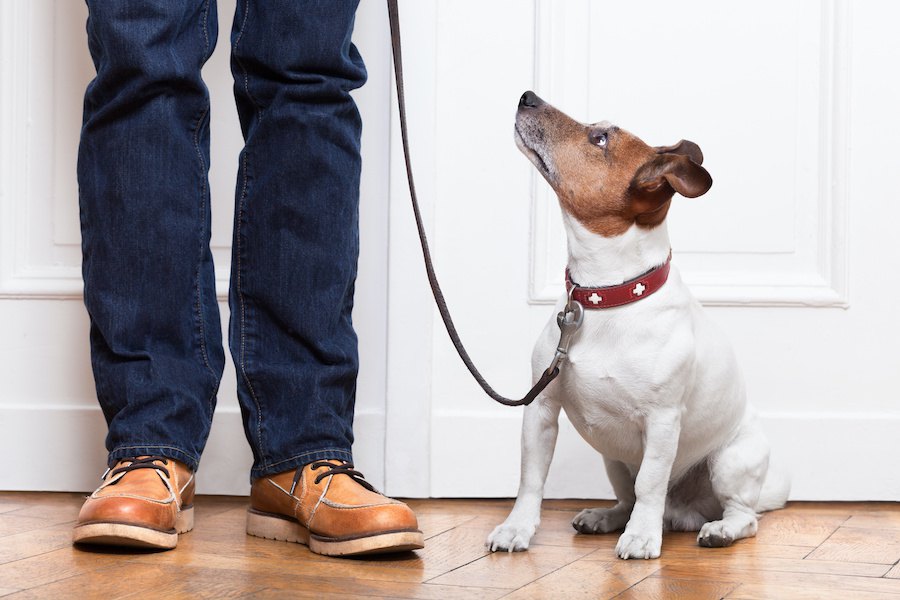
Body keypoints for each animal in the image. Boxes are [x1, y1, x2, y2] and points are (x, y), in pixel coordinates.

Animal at [488, 91, 792, 560]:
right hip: (614, 461)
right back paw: (607, 517)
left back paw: (715, 529)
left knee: (742, 516)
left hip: (729, 464)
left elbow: (651, 482)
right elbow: (530, 479)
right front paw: (516, 528)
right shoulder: (541, 410)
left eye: (599, 139)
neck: (606, 297)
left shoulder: (663, 421)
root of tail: (685, 513)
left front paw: (642, 537)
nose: (527, 96)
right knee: (628, 497)